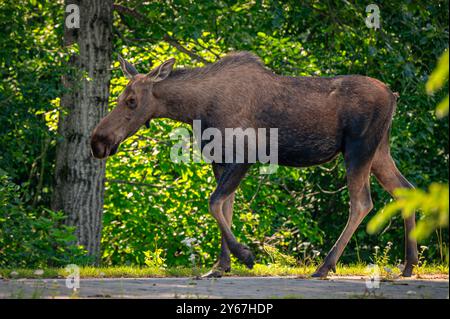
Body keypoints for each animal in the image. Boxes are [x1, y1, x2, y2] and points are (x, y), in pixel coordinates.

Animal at [90, 51, 418, 278]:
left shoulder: (245, 154)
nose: (97, 141)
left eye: (132, 100)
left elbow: (214, 203)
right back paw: (409, 265)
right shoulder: (220, 159)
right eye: (120, 97)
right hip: (379, 151)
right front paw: (220, 266)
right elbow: (225, 207)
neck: (195, 111)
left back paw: (325, 265)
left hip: (358, 148)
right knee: (405, 189)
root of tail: (394, 96)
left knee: (362, 202)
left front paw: (245, 256)